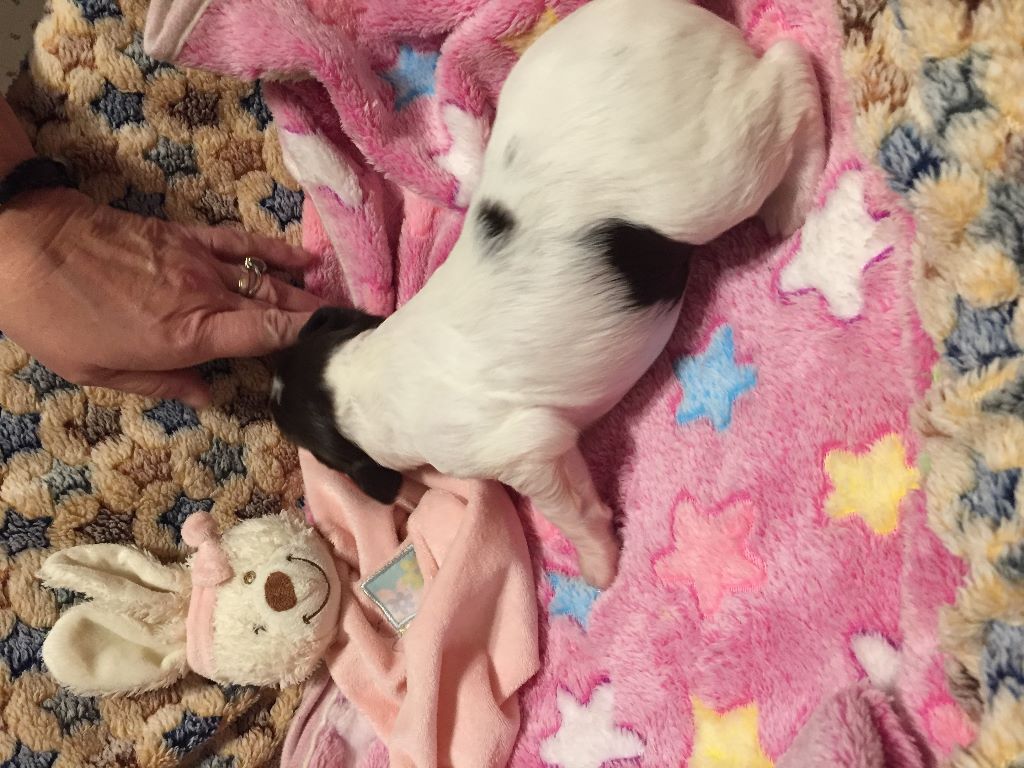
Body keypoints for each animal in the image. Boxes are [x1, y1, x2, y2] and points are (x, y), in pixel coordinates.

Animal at [270, 0, 826, 588]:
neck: (353, 376)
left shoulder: (520, 447)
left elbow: (564, 506)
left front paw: (599, 566)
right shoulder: (554, 440)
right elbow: (578, 484)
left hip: (712, 178)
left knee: (788, 68)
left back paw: (793, 197)